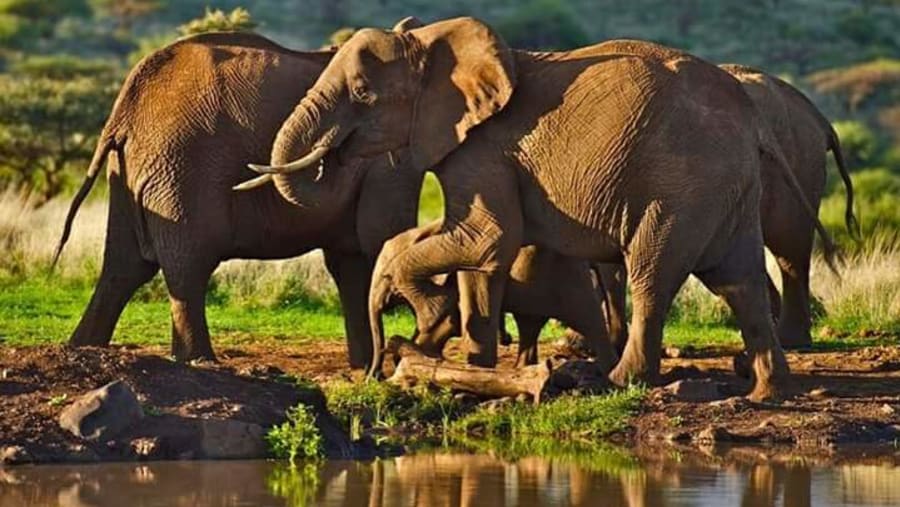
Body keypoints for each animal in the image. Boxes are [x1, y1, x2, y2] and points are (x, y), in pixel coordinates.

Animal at [54, 30, 423, 365]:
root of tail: (122, 113)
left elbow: (351, 260)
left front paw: (365, 369)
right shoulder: (390, 161)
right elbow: (380, 240)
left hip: (132, 170)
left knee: (122, 268)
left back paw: (83, 346)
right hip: (183, 168)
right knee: (187, 265)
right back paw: (199, 361)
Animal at [368, 221, 614, 371]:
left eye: (386, 276)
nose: (375, 376)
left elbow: (450, 322)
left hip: (568, 280)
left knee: (589, 319)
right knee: (529, 325)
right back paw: (523, 369)